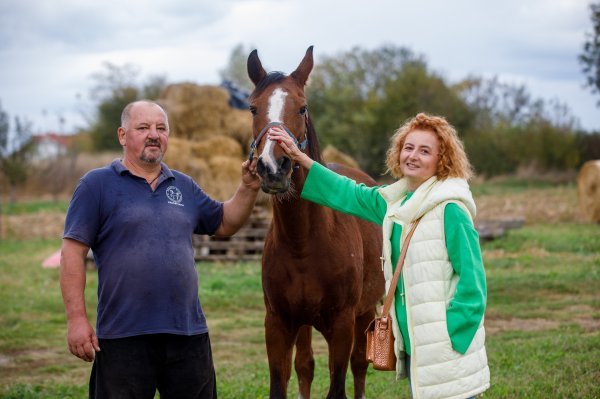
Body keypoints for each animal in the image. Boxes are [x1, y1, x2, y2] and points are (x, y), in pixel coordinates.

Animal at [247, 45, 384, 398]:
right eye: (253, 108)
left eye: (303, 107)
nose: (273, 166)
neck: (303, 242)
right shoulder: (278, 323)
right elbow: (283, 381)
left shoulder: (342, 325)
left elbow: (339, 385)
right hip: (304, 324)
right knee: (305, 367)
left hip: (364, 312)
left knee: (359, 366)